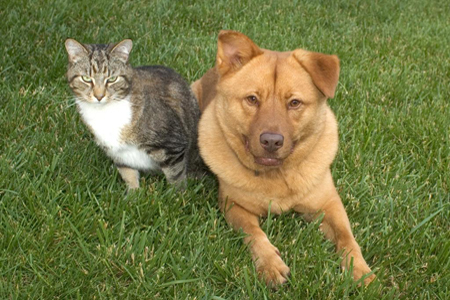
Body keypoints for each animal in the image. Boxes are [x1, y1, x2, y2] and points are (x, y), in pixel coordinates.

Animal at [64, 38, 205, 190]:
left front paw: (176, 194)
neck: (105, 114)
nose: (99, 96)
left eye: (112, 79)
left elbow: (175, 176)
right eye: (86, 78)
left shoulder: (172, 143)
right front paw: (133, 193)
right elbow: (128, 174)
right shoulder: (119, 155)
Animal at [193, 29, 376, 286]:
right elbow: (254, 233)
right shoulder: (234, 206)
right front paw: (270, 264)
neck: (277, 177)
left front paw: (359, 269)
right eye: (252, 99)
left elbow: (347, 237)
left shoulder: (329, 204)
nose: (271, 141)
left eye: (294, 102)